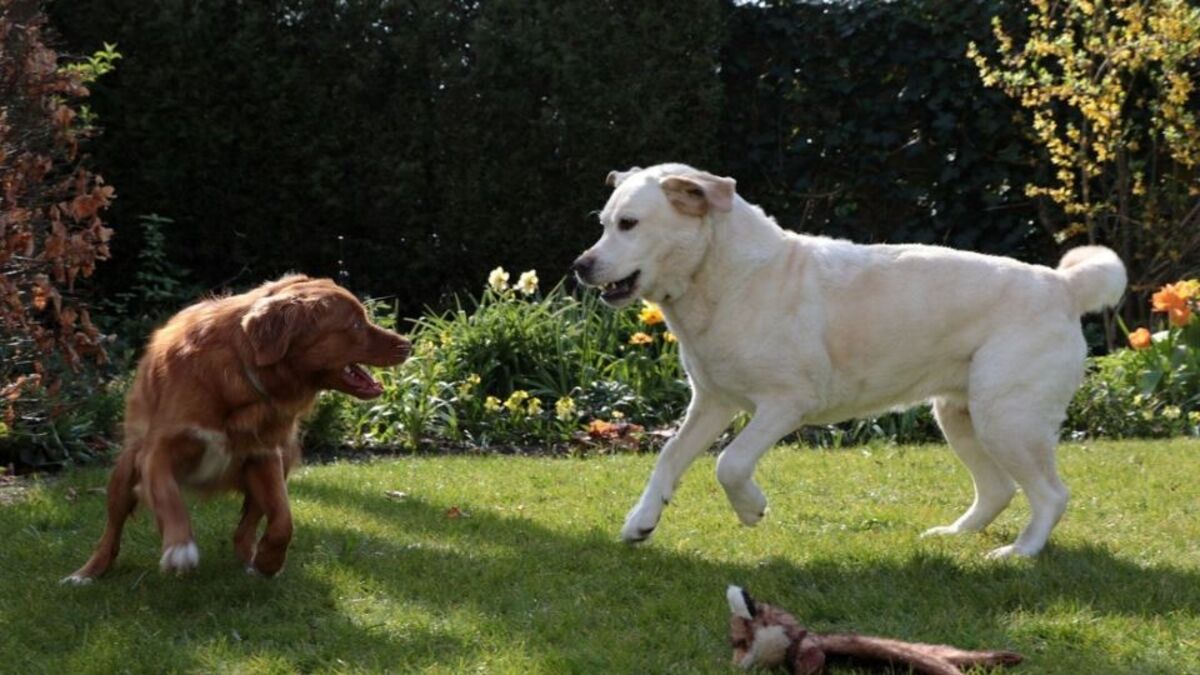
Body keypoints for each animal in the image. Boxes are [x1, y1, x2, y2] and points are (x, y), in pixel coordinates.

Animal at [63, 271, 410, 578]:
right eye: (355, 323)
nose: (407, 344)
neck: (243, 374)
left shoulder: (264, 454)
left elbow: (283, 520)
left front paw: (269, 561)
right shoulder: (158, 450)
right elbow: (168, 497)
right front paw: (179, 546)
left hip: (282, 458)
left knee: (246, 526)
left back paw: (251, 561)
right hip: (123, 473)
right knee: (112, 530)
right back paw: (87, 573)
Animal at [571, 159, 1123, 554]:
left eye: (629, 224)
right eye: (603, 224)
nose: (579, 265)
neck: (723, 278)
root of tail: (1062, 284)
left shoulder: (786, 402)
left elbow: (730, 463)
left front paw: (751, 510)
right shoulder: (711, 401)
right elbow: (669, 456)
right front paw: (641, 522)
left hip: (1006, 418)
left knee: (1050, 494)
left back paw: (1019, 553)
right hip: (961, 416)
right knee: (998, 489)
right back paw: (954, 536)